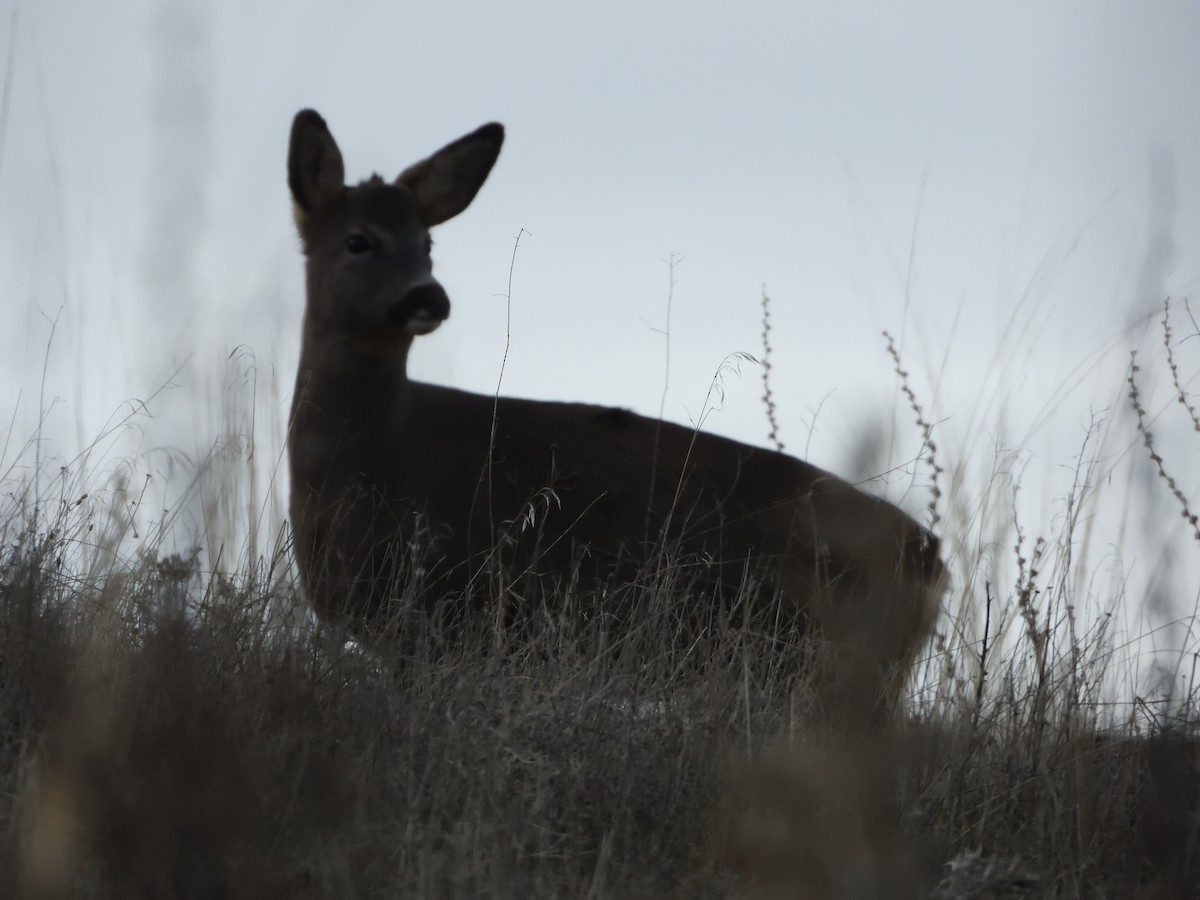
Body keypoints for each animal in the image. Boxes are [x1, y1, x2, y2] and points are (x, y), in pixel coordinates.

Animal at [286, 108, 945, 707]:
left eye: (427, 243)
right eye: (358, 240)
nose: (428, 295)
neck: (375, 455)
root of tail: (934, 559)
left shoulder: (445, 607)